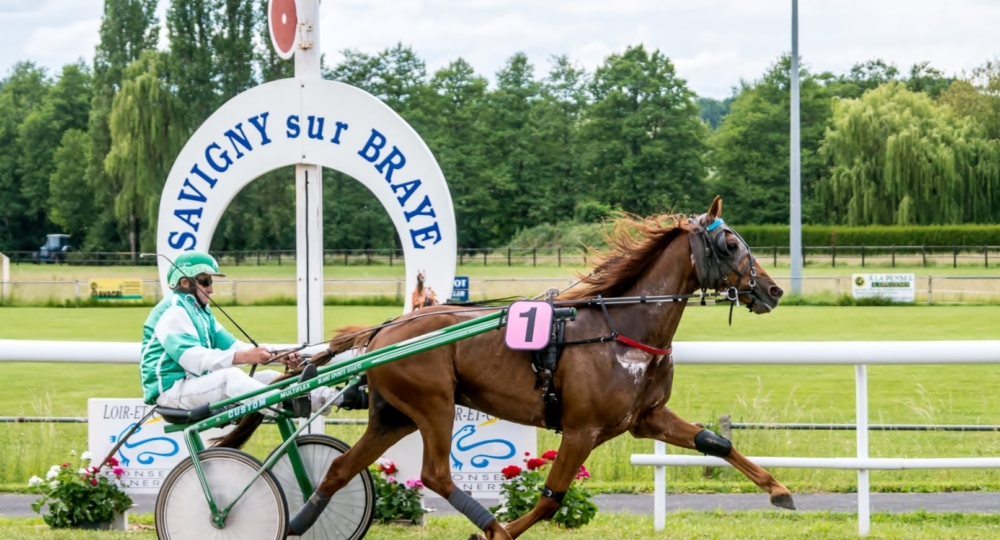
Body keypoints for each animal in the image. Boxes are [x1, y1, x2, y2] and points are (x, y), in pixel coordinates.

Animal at [286, 197, 792, 536]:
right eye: (730, 243)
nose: (773, 291)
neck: (624, 328)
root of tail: (385, 329)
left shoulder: (645, 418)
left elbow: (717, 442)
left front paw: (778, 491)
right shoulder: (582, 430)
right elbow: (552, 499)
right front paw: (503, 530)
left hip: (394, 416)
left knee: (340, 468)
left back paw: (298, 521)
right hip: (434, 405)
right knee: (435, 475)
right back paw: (491, 526)